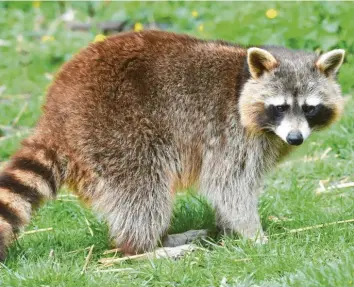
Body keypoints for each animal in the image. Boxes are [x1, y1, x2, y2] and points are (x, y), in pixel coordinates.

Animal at [0, 30, 344, 260]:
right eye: (280, 107)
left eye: (310, 109)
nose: (296, 138)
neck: (243, 81)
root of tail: (55, 114)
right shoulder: (231, 132)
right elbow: (229, 185)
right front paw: (253, 234)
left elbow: (231, 189)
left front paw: (229, 228)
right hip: (113, 131)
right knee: (142, 191)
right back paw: (142, 250)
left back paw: (162, 240)